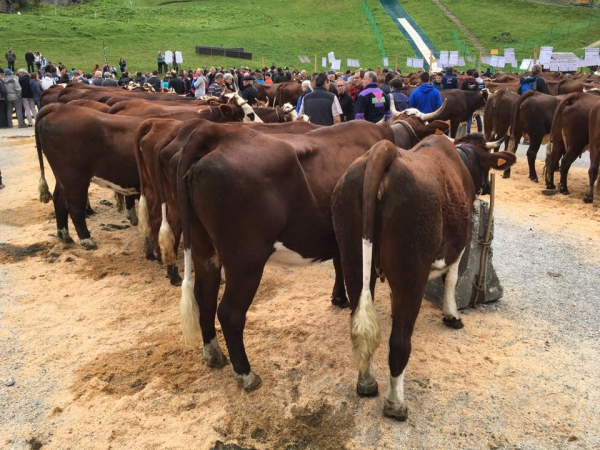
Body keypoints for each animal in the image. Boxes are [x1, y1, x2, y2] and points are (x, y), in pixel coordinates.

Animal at [328, 133, 516, 418]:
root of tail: (385, 151)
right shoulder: (458, 244)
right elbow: (451, 279)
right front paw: (452, 315)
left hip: (353, 257)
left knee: (360, 329)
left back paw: (367, 383)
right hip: (411, 268)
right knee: (399, 342)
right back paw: (396, 404)